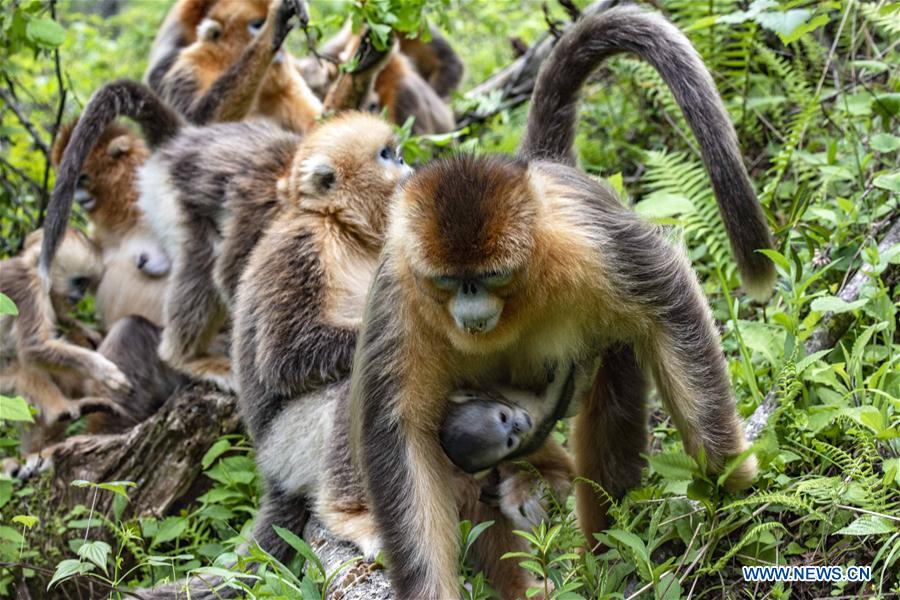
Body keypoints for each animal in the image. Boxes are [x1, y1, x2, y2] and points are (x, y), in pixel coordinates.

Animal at [352, 5, 772, 600]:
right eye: (449, 282)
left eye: (491, 276)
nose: (470, 307)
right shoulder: (400, 289)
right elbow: (400, 439)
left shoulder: (582, 239)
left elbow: (668, 299)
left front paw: (728, 481)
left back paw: (608, 557)